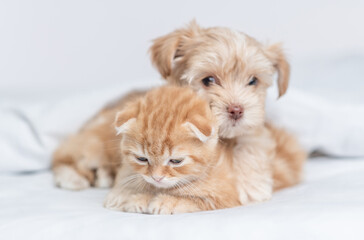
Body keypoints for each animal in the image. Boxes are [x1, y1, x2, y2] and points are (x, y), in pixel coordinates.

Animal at [104, 85, 242, 213]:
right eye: (142, 159)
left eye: (176, 161)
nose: (157, 178)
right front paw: (131, 196)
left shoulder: (226, 197)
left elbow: (193, 200)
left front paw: (165, 202)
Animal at [149, 21, 306, 204]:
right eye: (208, 80)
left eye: (253, 81)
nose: (236, 110)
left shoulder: (254, 132)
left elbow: (251, 145)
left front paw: (252, 187)